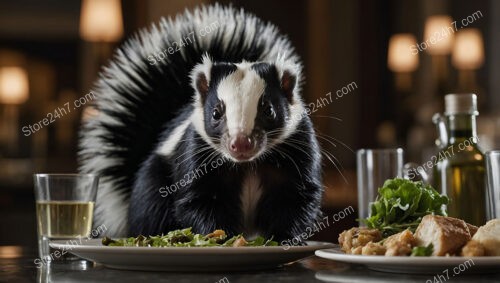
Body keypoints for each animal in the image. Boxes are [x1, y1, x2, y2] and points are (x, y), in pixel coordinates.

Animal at [78, 3, 320, 242]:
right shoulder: (196, 152)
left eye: (268, 110)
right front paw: (220, 236)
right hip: (154, 181)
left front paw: (284, 238)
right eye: (216, 113)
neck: (247, 165)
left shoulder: (297, 148)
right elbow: (198, 200)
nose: (241, 143)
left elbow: (297, 197)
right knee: (152, 208)